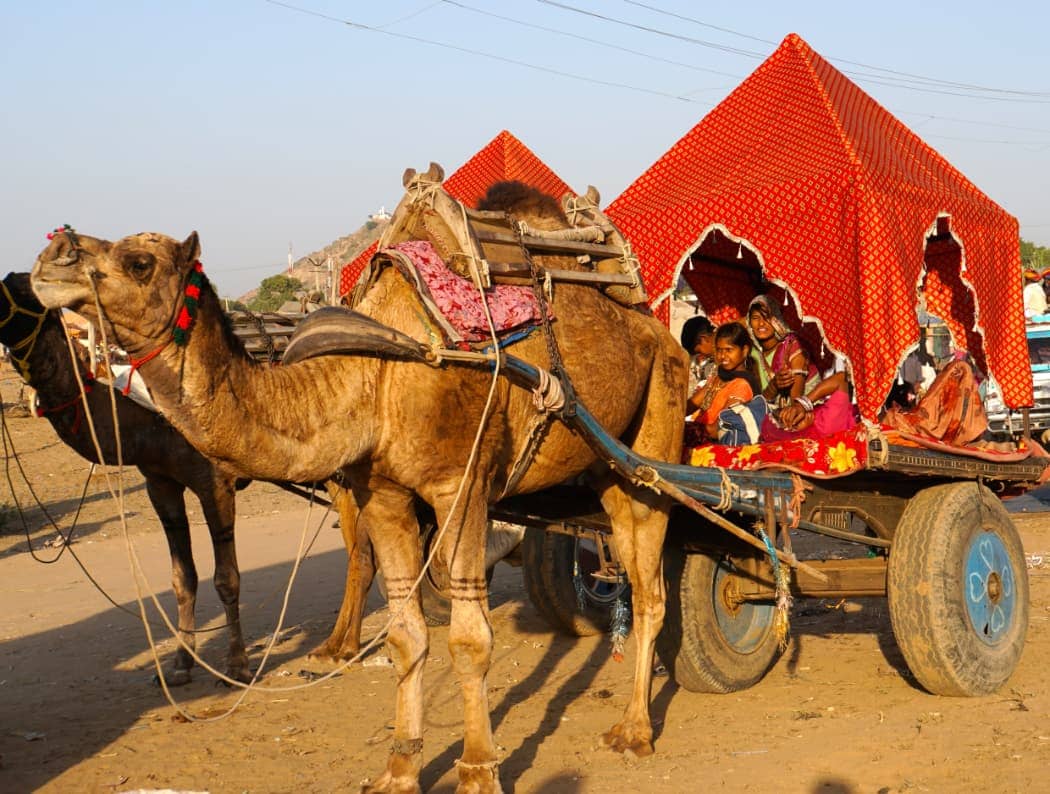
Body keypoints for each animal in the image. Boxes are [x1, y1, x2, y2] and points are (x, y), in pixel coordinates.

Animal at [28, 179, 684, 794]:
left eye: (141, 261)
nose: (54, 253)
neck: (377, 371)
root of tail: (655, 326)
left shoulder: (462, 484)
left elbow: (470, 640)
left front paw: (477, 770)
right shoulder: (384, 494)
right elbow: (404, 635)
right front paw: (398, 769)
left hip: (658, 423)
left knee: (653, 582)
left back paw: (634, 730)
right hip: (604, 469)